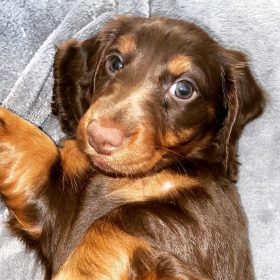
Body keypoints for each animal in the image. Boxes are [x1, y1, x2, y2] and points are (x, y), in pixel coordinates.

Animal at [1, 16, 266, 278]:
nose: (100, 138)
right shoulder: (51, 199)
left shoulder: (203, 217)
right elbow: (28, 139)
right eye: (115, 63)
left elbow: (123, 218)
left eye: (184, 89)